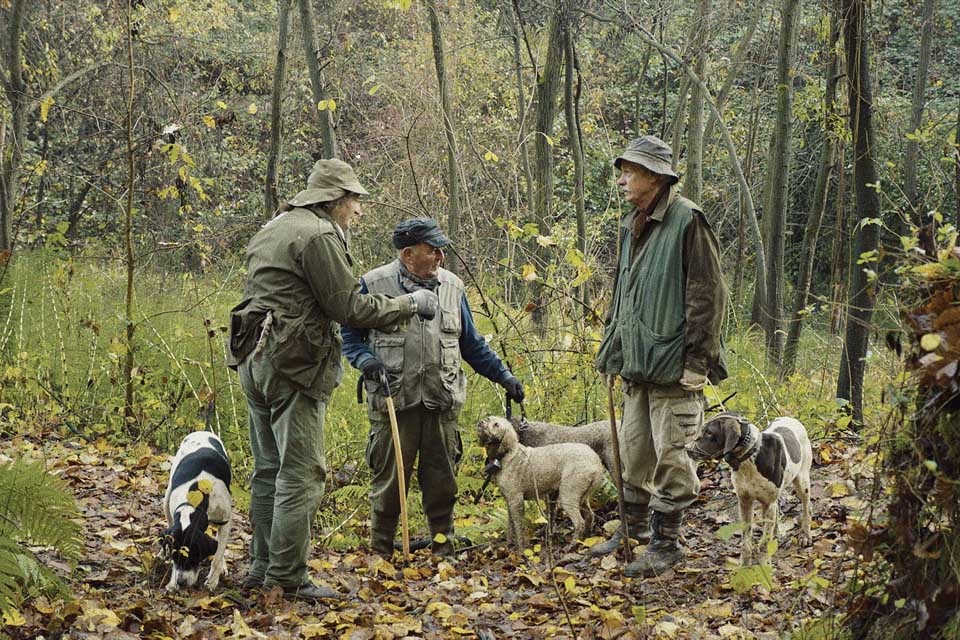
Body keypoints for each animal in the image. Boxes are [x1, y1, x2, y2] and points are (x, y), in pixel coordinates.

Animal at [162, 430, 233, 592]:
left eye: (193, 556)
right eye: (174, 557)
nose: (181, 582)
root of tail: (203, 431)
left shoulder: (226, 520)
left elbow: (218, 553)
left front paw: (212, 581)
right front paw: (171, 582)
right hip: (166, 499)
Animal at [478, 416, 604, 552]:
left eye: (496, 425)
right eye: (488, 418)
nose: (480, 423)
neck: (507, 454)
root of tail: (595, 462)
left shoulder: (516, 500)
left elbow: (518, 528)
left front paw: (521, 550)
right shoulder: (509, 501)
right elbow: (510, 527)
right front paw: (508, 546)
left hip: (568, 494)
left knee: (579, 522)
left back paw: (571, 546)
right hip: (582, 496)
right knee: (590, 515)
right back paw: (587, 538)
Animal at [688, 410, 812, 564]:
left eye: (709, 433)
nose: (687, 450)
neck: (749, 458)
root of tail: (792, 418)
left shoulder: (768, 503)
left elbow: (765, 541)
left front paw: (765, 564)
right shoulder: (745, 502)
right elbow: (746, 540)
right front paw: (745, 564)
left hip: (802, 481)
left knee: (807, 507)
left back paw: (805, 535)